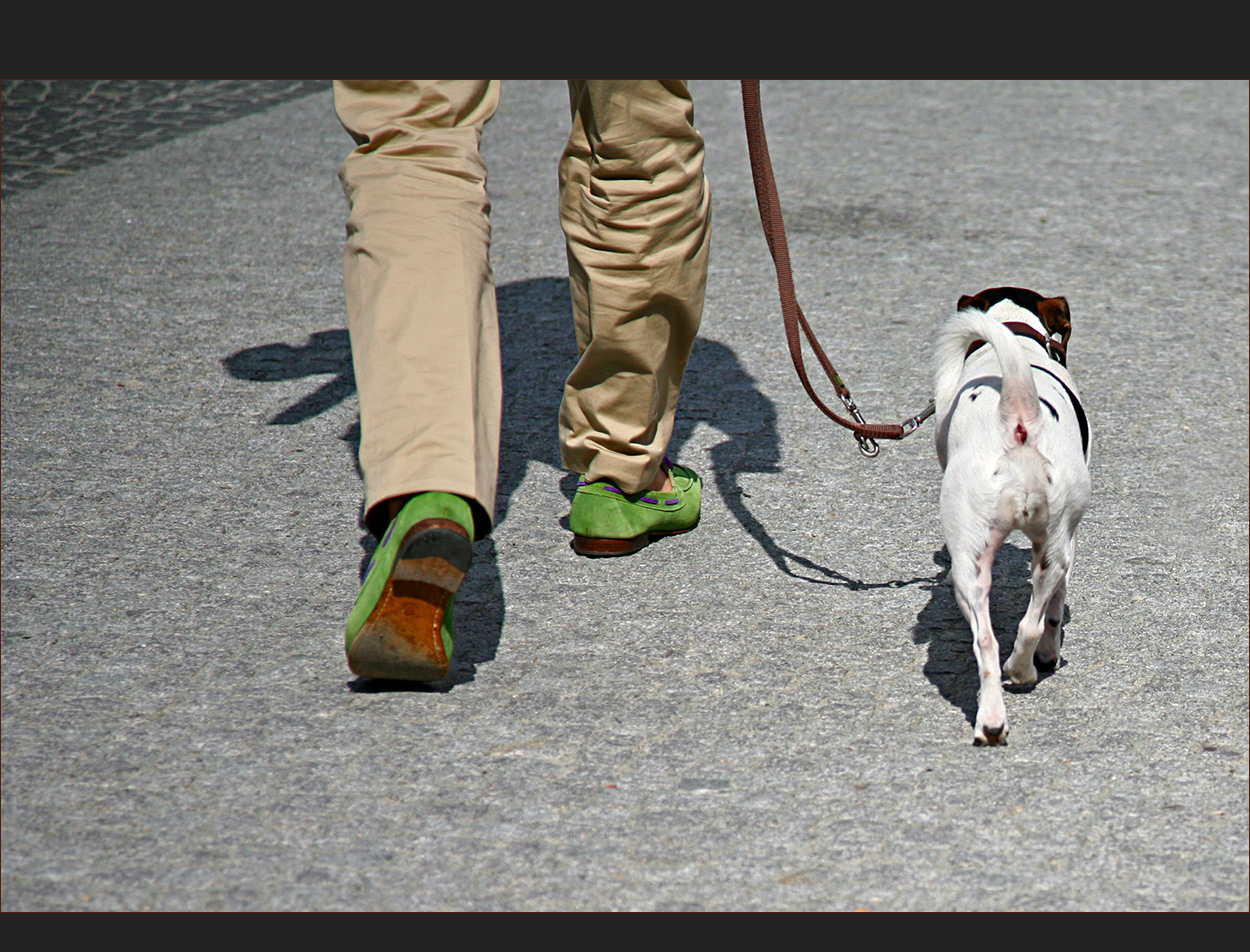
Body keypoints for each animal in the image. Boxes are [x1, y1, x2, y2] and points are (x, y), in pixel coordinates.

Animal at [935, 286, 1090, 744]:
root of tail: (1019, 418)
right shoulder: (1068, 544)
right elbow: (1052, 613)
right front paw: (1048, 655)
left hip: (976, 565)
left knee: (988, 642)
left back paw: (995, 711)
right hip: (1053, 551)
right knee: (1028, 626)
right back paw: (1015, 682)